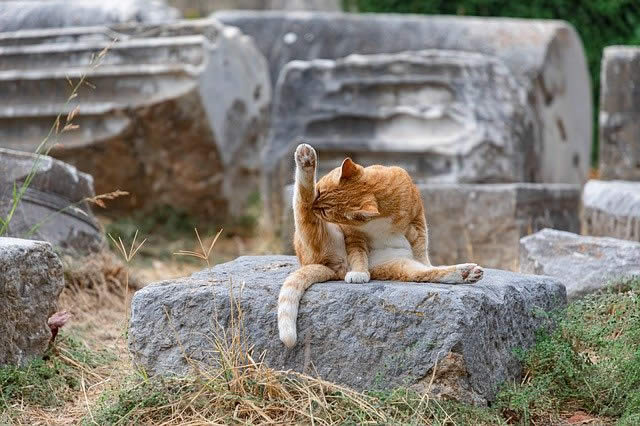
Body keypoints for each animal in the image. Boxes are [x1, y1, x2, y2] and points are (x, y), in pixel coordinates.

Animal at [278, 145, 482, 348]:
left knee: (426, 272)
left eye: (325, 211)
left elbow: (421, 247)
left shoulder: (418, 221)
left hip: (398, 265)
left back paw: (466, 273)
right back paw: (306, 159)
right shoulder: (353, 234)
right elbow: (358, 254)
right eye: (318, 191)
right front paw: (359, 273)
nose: (315, 205)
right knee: (302, 203)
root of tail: (334, 269)